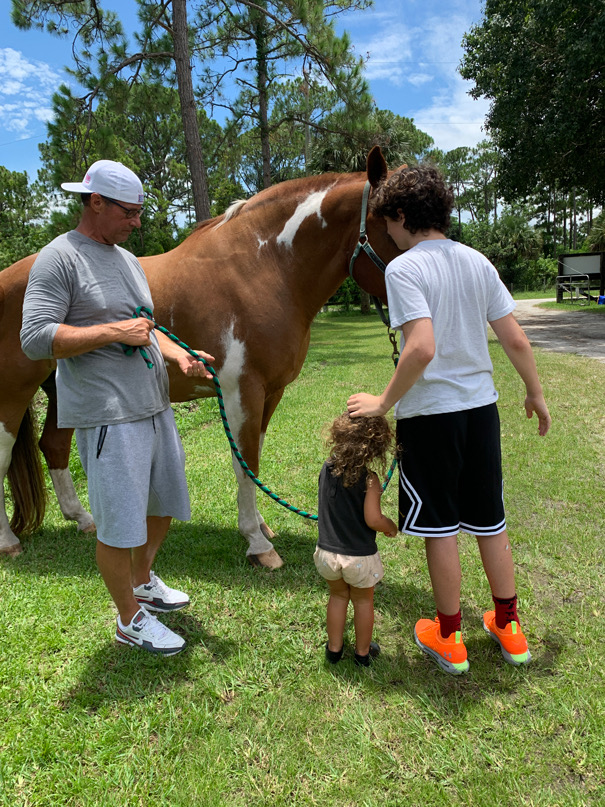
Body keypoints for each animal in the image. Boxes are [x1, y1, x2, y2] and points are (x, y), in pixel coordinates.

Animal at [0, 146, 401, 568]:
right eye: (399, 226)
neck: (265, 268)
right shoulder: (242, 390)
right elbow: (246, 462)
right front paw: (258, 545)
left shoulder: (269, 393)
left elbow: (252, 459)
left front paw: (260, 527)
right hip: (14, 389)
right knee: (4, 453)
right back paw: (9, 541)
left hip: (62, 391)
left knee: (53, 446)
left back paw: (83, 520)